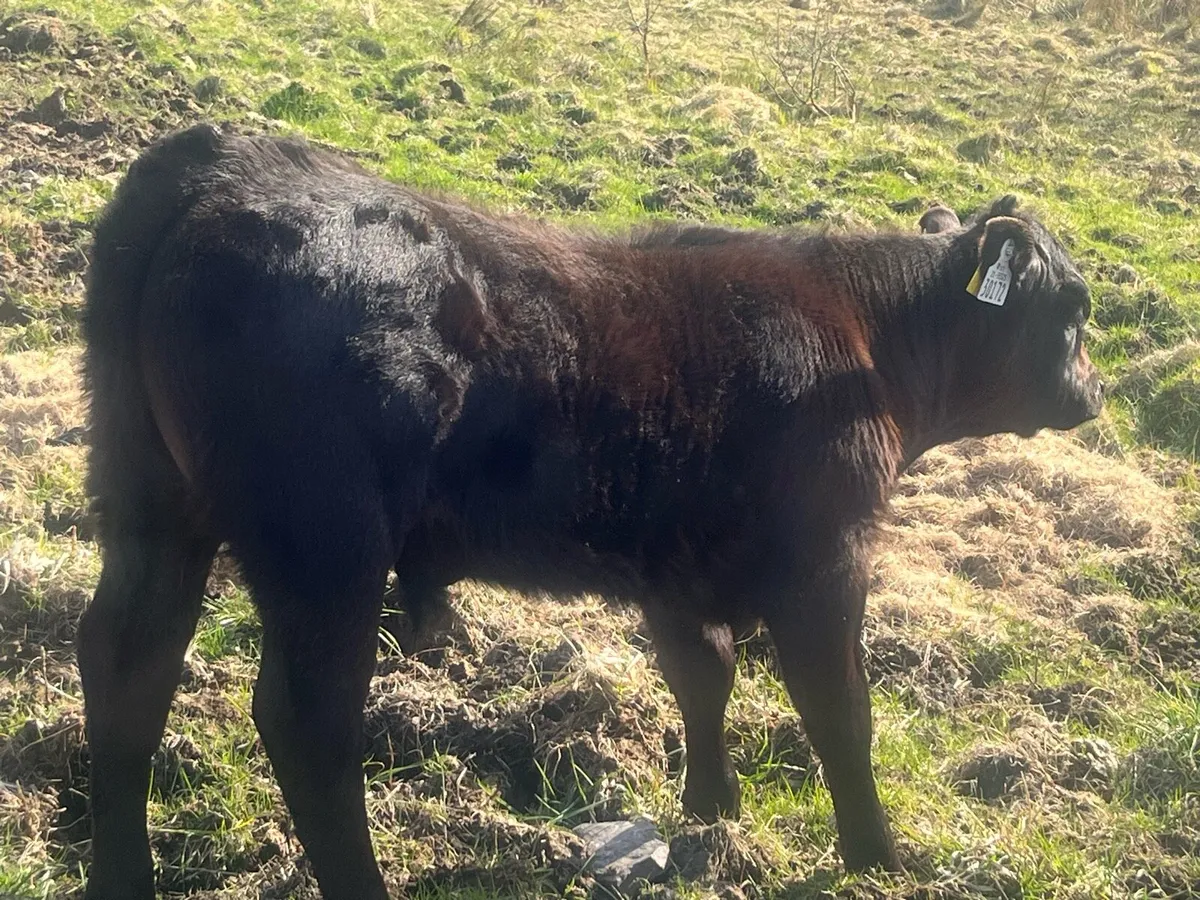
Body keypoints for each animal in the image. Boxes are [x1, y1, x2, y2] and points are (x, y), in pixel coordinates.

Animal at [77, 123, 1103, 900]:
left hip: (150, 503)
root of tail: (230, 160)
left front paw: (712, 811)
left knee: (127, 663)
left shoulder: (677, 567)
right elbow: (840, 712)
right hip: (324, 543)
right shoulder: (826, 557)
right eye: (1077, 304)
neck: (865, 340)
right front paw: (878, 859)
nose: (1093, 393)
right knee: (308, 719)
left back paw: (122, 878)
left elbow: (704, 675)